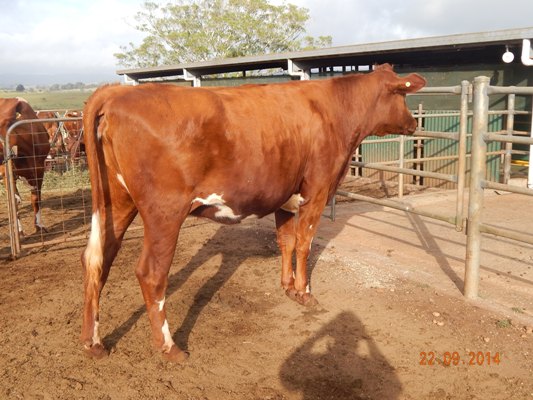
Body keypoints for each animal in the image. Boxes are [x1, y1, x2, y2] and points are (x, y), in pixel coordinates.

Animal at [0, 98, 50, 233]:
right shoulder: (7, 173)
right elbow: (15, 200)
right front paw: (18, 229)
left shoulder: (39, 169)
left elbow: (36, 197)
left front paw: (39, 225)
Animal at [81, 64, 426, 360]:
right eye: (403, 94)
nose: (414, 123)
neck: (333, 110)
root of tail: (117, 93)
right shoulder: (317, 192)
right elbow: (304, 244)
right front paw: (305, 293)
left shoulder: (285, 198)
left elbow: (286, 242)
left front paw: (288, 287)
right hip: (164, 213)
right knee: (151, 274)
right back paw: (170, 348)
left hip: (116, 202)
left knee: (97, 260)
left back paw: (93, 343)